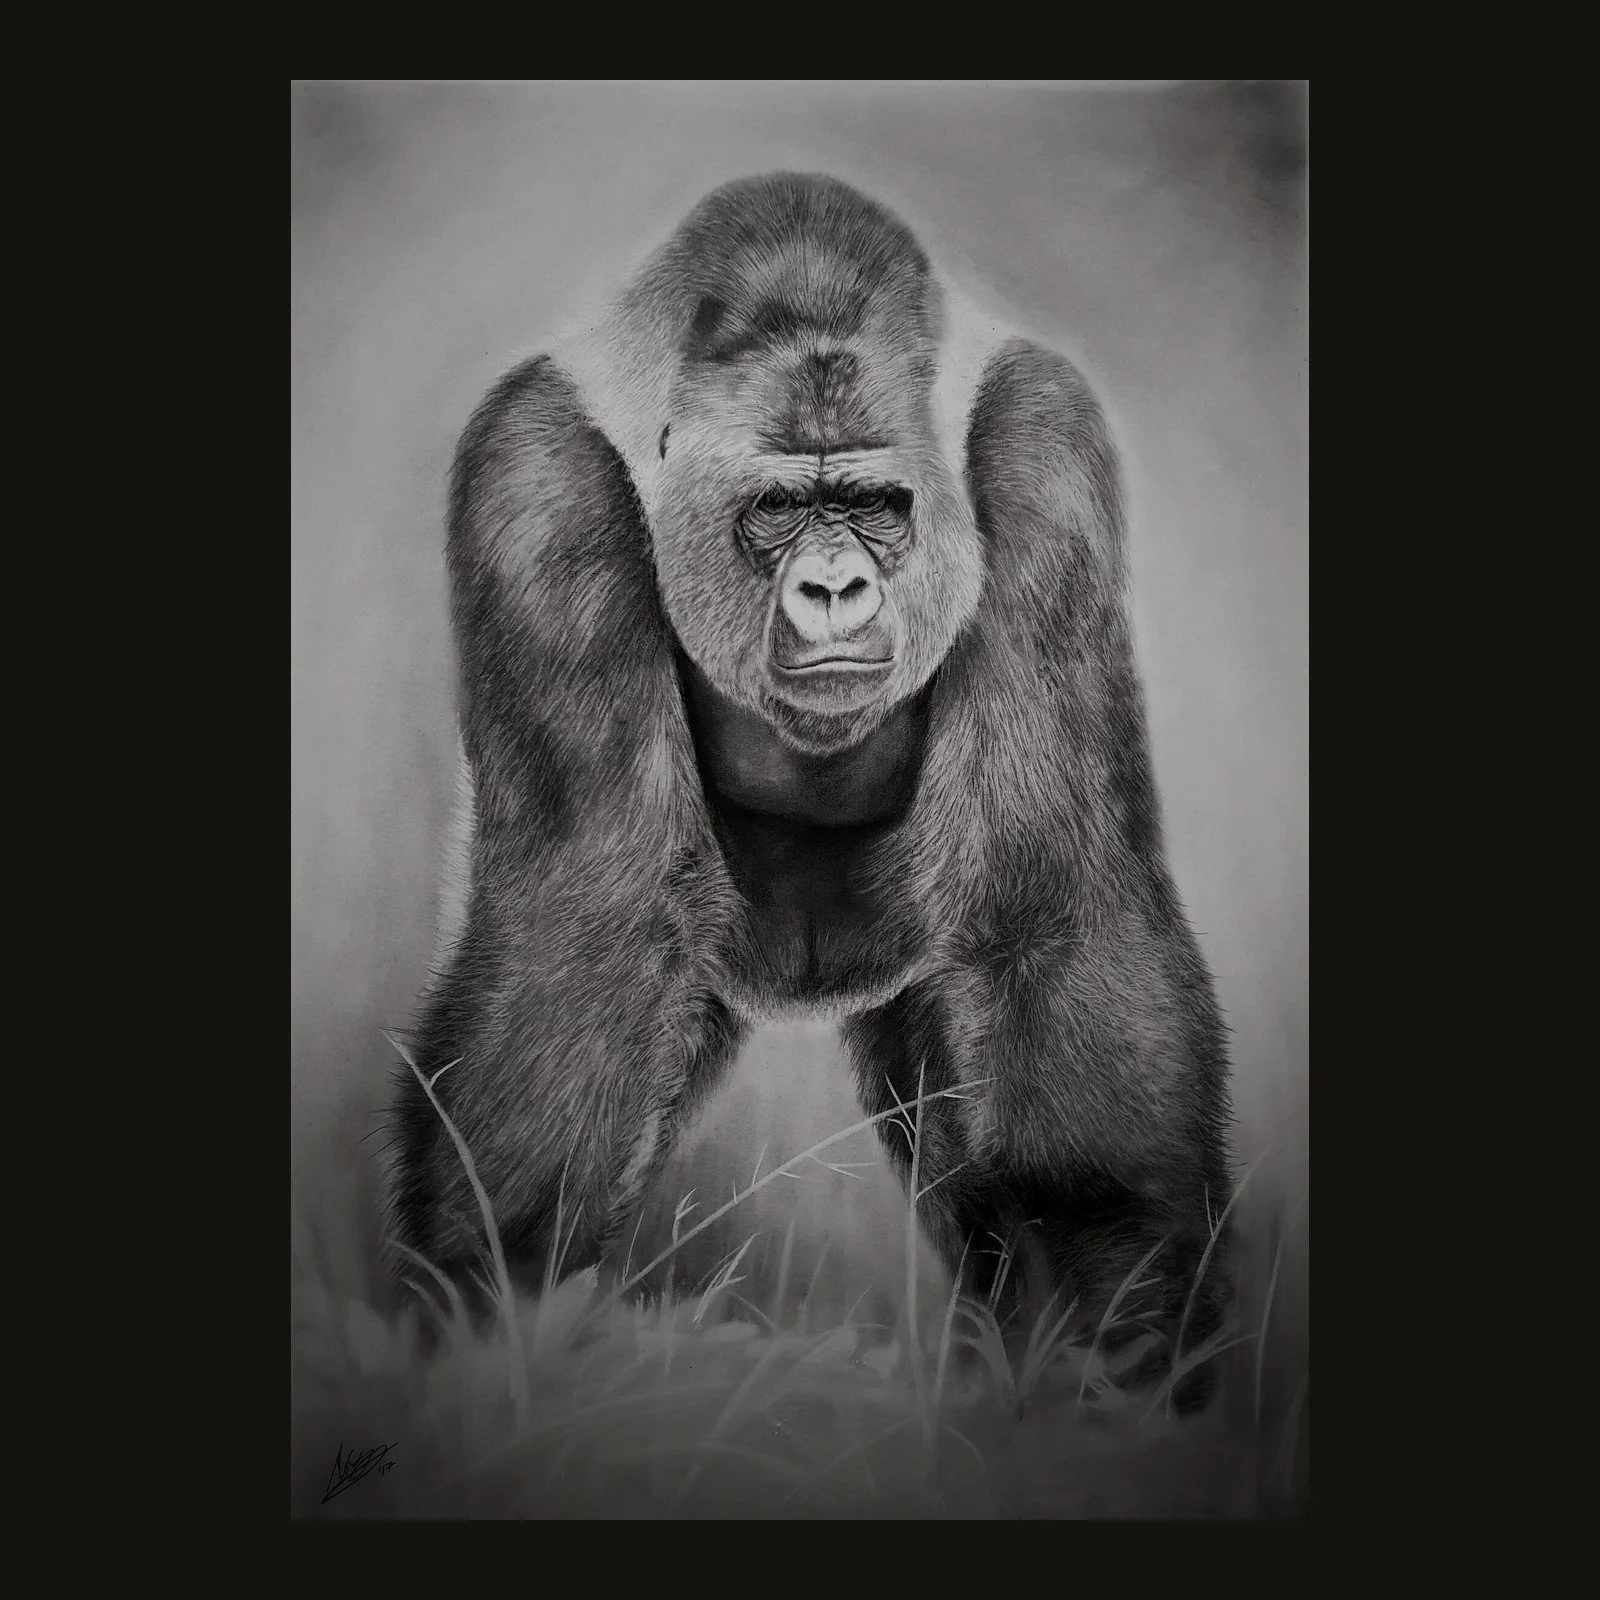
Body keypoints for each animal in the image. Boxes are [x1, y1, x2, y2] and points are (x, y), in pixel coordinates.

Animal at [386, 172, 1234, 1411]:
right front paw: (480, 1326)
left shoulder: (1050, 450)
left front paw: (1122, 1340)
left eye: (876, 503)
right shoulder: (530, 480)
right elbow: (587, 938)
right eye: (779, 509)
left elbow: (1054, 921)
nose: (834, 588)